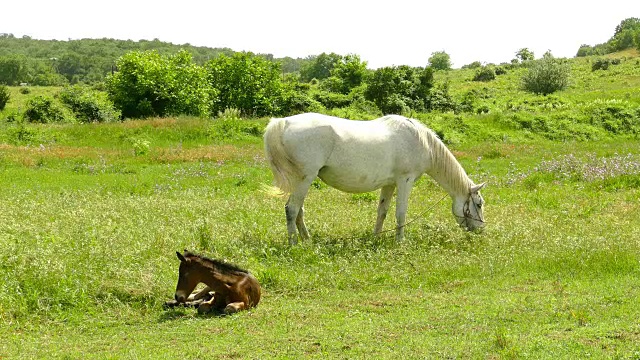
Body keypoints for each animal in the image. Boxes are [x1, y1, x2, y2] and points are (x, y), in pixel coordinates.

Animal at [264, 112, 484, 245]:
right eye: (479, 204)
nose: (481, 229)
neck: (421, 142)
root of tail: (283, 122)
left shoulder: (389, 184)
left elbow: (382, 212)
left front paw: (376, 238)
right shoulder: (405, 181)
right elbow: (401, 213)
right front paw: (400, 242)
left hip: (301, 181)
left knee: (299, 211)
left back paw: (307, 240)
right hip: (305, 179)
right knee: (292, 209)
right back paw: (294, 243)